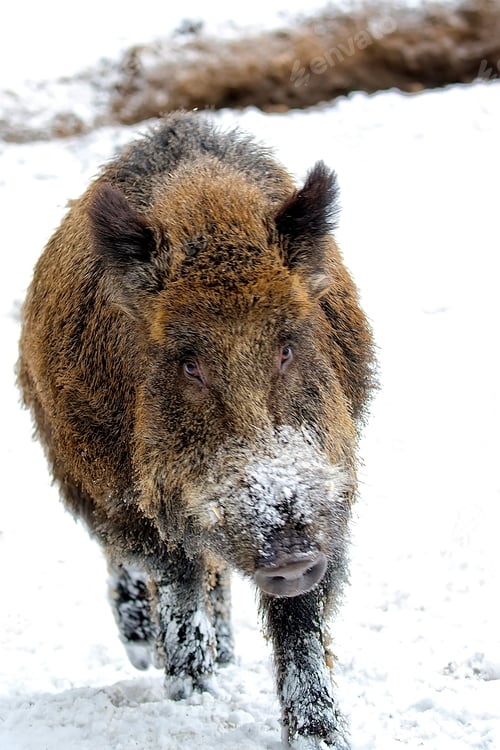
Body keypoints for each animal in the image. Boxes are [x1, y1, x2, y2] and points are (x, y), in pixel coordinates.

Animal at [18, 111, 376, 749]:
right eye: (189, 364)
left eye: (288, 347)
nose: (288, 554)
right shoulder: (132, 493)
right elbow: (177, 580)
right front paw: (192, 694)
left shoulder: (327, 494)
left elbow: (300, 616)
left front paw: (320, 736)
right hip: (79, 472)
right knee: (129, 560)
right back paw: (146, 653)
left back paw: (226, 655)